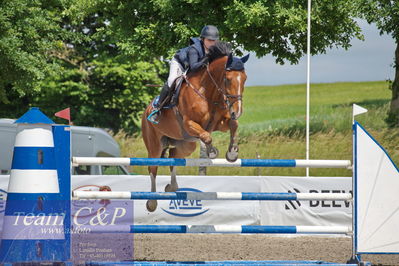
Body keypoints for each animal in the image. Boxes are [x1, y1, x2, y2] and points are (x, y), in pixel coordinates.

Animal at [141, 42, 248, 212]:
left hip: (186, 144)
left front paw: (232, 153)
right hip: (154, 145)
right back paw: (152, 202)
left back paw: (172, 187)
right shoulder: (189, 124)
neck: (208, 92)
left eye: (244, 79)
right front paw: (212, 152)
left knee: (173, 155)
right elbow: (207, 136)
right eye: (227, 79)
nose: (236, 111)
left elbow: (233, 124)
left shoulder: (218, 123)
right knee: (152, 168)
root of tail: (146, 110)